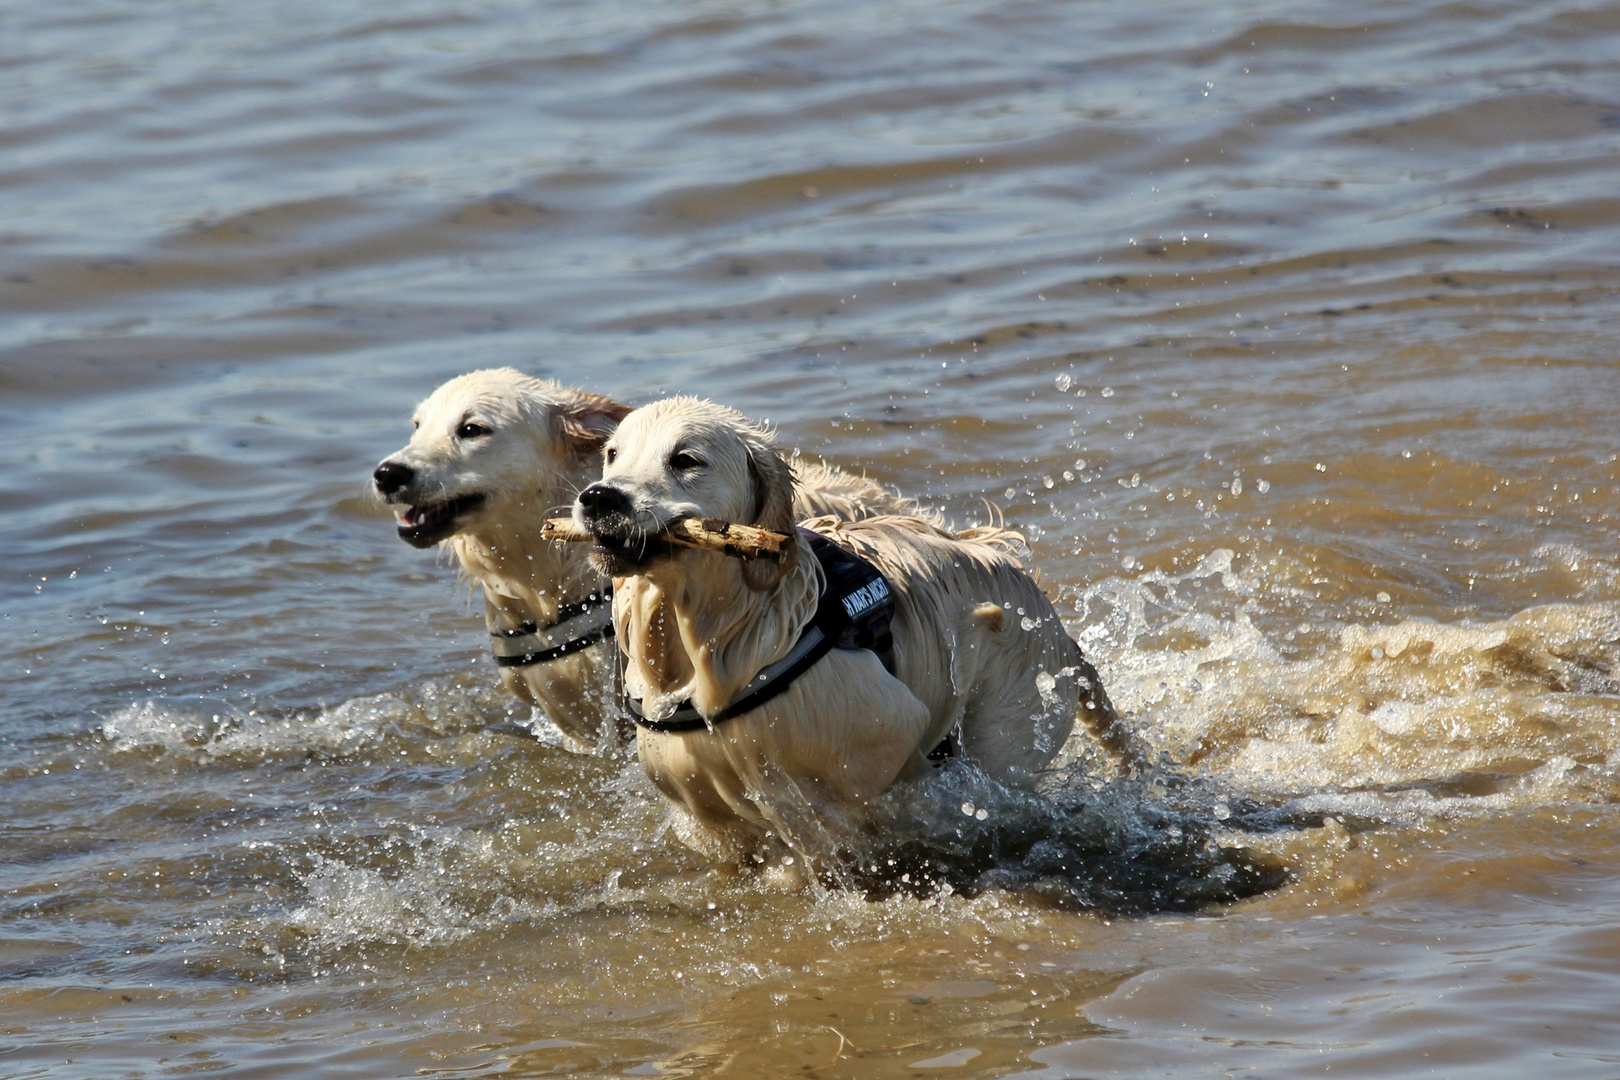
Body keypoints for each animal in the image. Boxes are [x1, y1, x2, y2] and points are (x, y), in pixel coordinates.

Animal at [576, 396, 1121, 880]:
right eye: (613, 454)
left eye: (685, 459)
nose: (598, 497)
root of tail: (1051, 618)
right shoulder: (708, 810)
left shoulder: (882, 740)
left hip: (1009, 724)